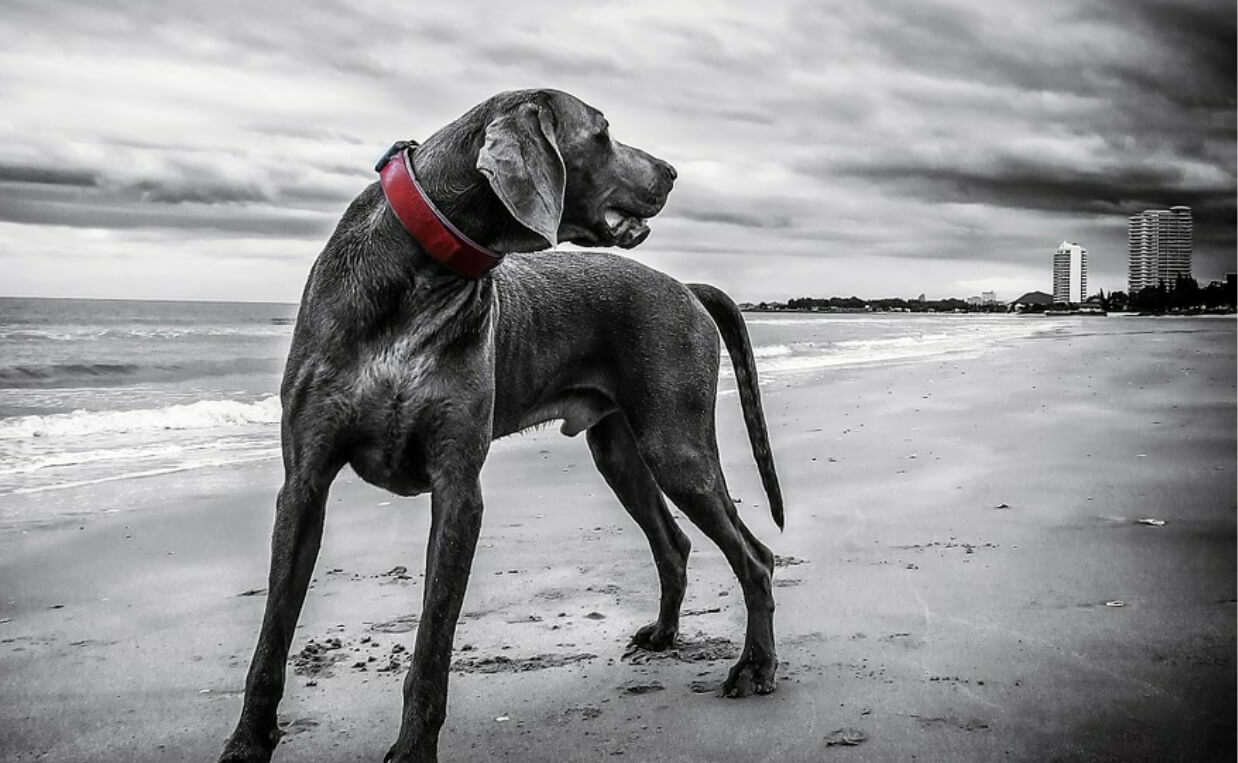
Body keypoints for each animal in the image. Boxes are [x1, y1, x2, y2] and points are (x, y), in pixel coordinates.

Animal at [220, 86, 782, 758]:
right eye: (602, 132)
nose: (672, 172)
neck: (423, 273)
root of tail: (686, 286)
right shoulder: (304, 483)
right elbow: (272, 638)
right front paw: (246, 743)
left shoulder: (457, 489)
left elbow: (432, 646)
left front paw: (413, 751)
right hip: (621, 452)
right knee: (675, 543)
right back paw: (665, 635)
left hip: (678, 447)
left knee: (756, 557)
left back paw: (755, 667)